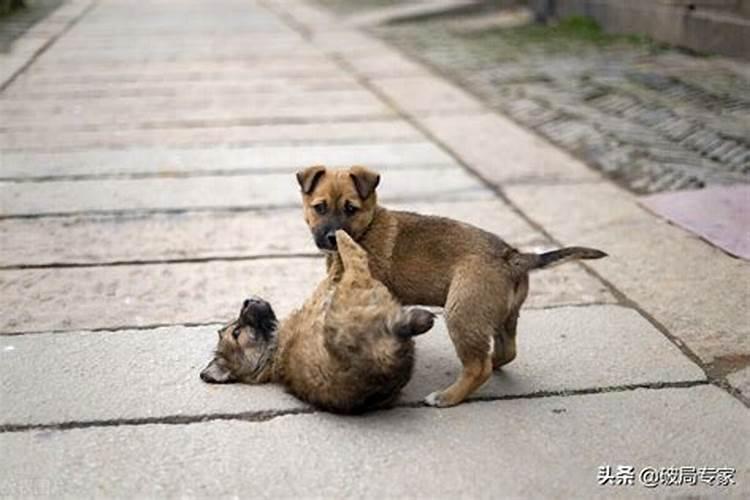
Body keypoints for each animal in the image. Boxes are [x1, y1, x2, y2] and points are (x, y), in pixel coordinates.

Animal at [201, 230, 434, 414]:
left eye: (235, 326)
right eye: (237, 333)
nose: (247, 301)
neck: (273, 352)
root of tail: (382, 366)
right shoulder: (330, 289)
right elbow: (341, 265)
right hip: (354, 291)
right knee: (356, 257)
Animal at [296, 166, 608, 408]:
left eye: (351, 209)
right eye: (319, 207)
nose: (331, 237)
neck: (367, 227)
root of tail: (512, 256)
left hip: (462, 313)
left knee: (478, 367)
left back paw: (447, 397)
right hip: (502, 315)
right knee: (505, 352)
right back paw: (490, 364)